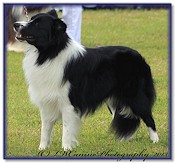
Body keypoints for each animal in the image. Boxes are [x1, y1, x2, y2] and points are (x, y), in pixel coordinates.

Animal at [13, 9, 159, 151]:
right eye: (31, 20)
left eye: (37, 24)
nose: (15, 24)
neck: (49, 53)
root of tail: (139, 56)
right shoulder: (46, 101)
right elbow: (45, 128)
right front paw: (42, 148)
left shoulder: (68, 103)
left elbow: (66, 129)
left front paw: (66, 149)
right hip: (114, 100)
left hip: (136, 96)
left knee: (148, 118)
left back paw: (155, 141)